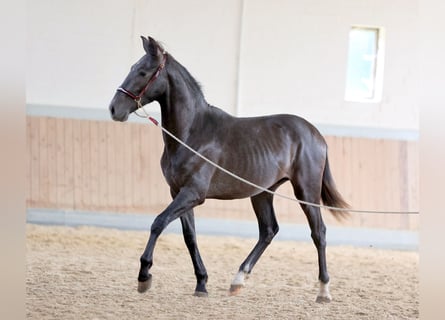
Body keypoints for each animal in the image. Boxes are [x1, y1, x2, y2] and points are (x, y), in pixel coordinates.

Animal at [107, 35, 346, 302]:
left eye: (143, 72)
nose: (114, 109)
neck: (192, 133)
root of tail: (316, 134)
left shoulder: (193, 193)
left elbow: (158, 222)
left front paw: (144, 276)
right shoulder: (178, 192)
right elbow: (190, 237)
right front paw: (201, 283)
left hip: (306, 191)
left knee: (318, 233)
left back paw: (323, 291)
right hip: (262, 193)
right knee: (268, 231)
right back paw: (237, 280)